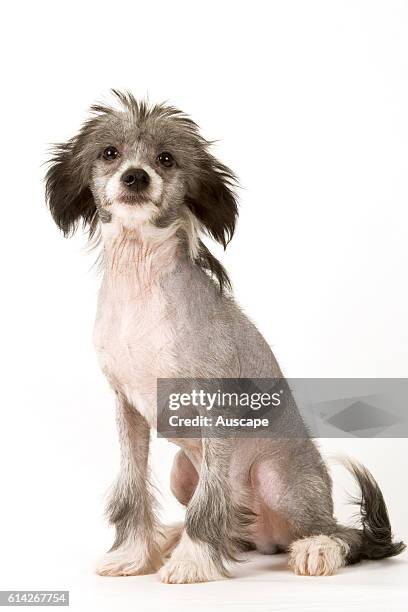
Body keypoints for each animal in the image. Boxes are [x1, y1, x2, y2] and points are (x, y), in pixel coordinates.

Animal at [45, 91, 404, 584]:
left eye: (166, 158)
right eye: (110, 153)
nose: (135, 176)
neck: (142, 279)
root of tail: (269, 537)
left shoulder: (213, 404)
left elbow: (210, 500)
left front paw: (193, 560)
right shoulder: (127, 410)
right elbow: (131, 487)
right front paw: (134, 553)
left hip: (279, 482)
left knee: (341, 533)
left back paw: (314, 549)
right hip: (181, 472)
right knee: (230, 525)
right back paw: (171, 538)